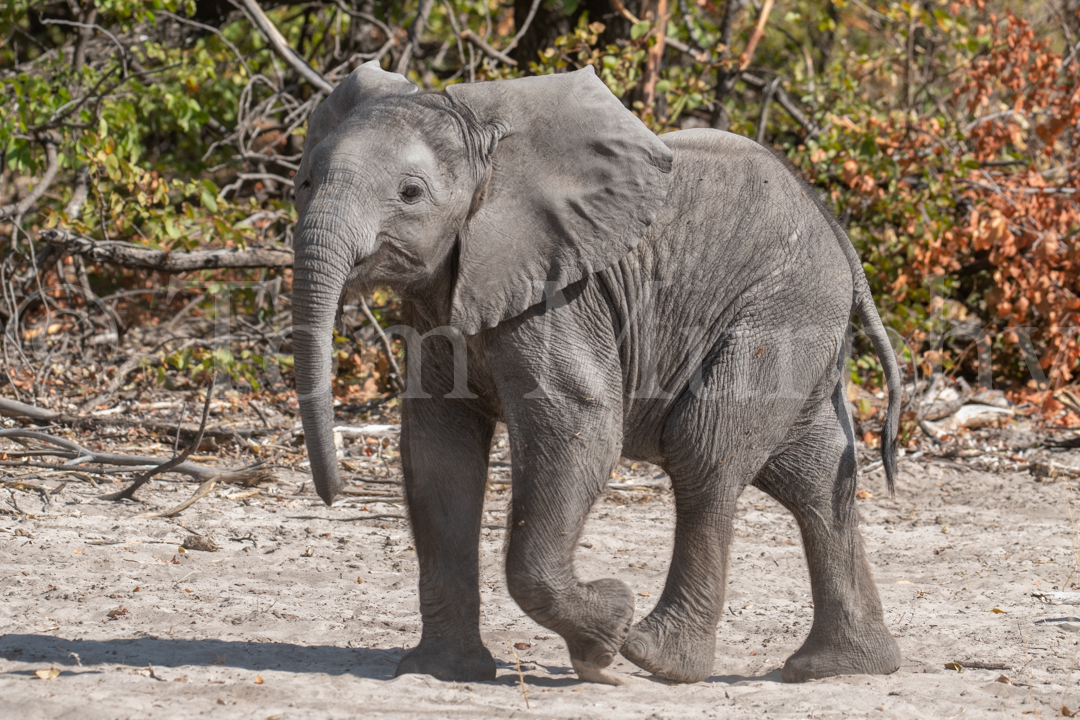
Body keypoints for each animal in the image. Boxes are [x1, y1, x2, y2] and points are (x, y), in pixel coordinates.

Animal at [291, 62, 907, 686]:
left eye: (410, 194)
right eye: (305, 182)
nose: (335, 494)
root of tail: (839, 236)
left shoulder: (559, 293)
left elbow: (577, 423)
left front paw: (604, 640)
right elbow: (439, 450)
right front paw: (441, 673)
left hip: (779, 313)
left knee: (705, 449)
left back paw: (655, 658)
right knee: (814, 476)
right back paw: (841, 666)